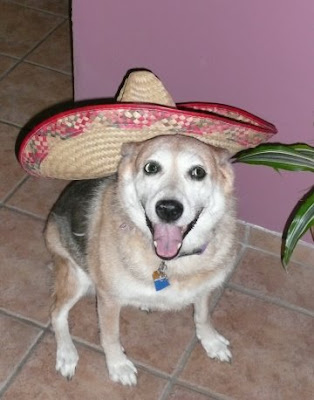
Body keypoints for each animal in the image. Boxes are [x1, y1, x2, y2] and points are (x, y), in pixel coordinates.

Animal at [45, 134, 237, 384]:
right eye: (151, 168)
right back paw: (67, 354)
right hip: (77, 277)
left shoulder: (203, 289)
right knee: (57, 313)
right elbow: (110, 336)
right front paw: (118, 365)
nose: (168, 209)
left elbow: (202, 316)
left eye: (198, 172)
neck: (171, 263)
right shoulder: (108, 299)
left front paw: (211, 341)